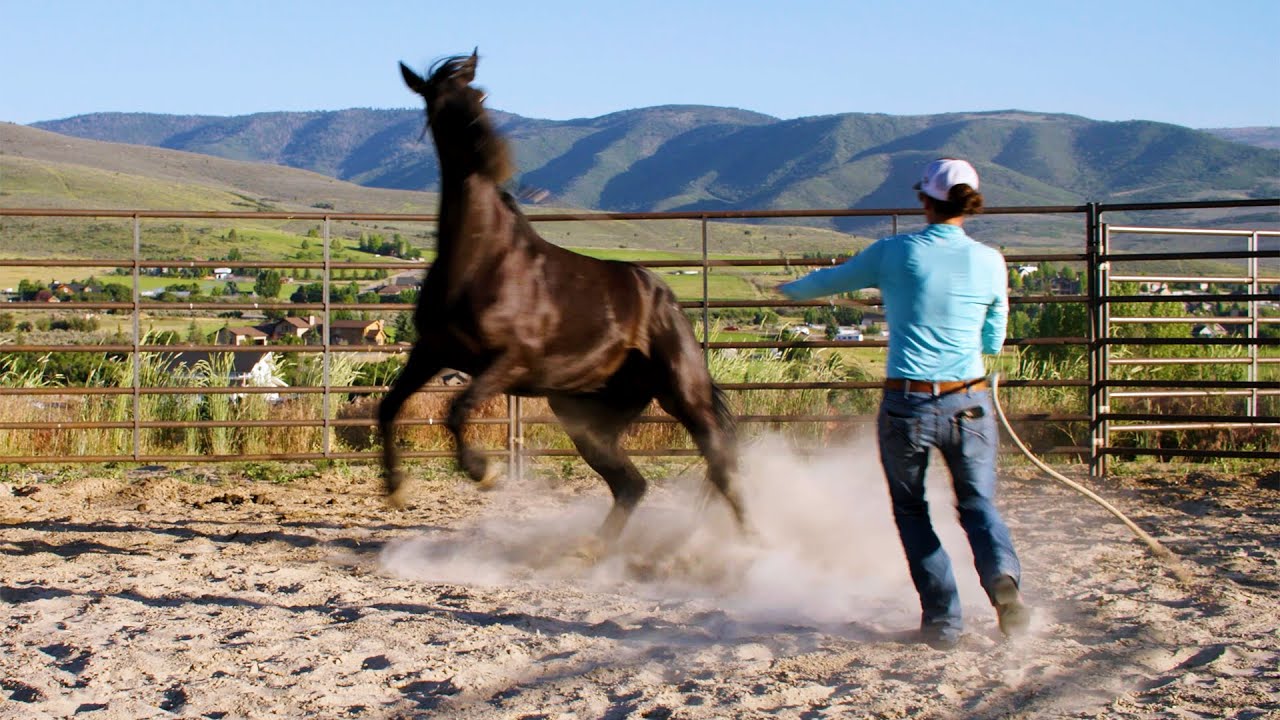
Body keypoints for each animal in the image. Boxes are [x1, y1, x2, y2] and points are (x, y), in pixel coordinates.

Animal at [381, 51, 746, 545]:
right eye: (439, 103)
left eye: (479, 95)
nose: (489, 150)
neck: (482, 260)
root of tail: (663, 296)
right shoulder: (432, 351)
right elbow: (389, 408)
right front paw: (397, 488)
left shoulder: (510, 360)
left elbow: (457, 409)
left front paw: (482, 471)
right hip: (587, 417)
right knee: (631, 483)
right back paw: (593, 551)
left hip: (683, 394)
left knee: (720, 465)